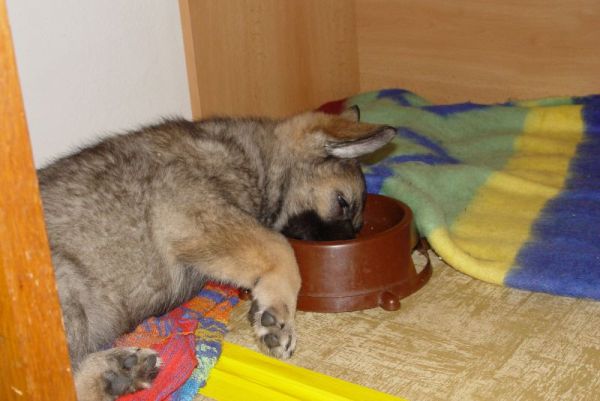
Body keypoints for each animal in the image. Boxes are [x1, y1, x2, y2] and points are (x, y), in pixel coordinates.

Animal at [38, 106, 395, 400]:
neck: (253, 158)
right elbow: (281, 248)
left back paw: (117, 373)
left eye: (357, 226)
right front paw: (278, 316)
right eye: (342, 202)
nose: (347, 248)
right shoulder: (191, 217)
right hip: (68, 289)